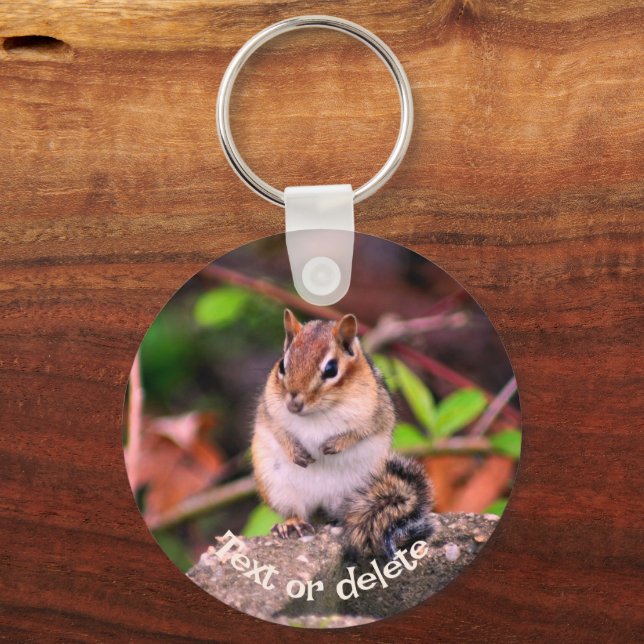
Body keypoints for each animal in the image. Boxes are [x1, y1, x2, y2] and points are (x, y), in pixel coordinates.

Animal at [251, 308, 434, 560]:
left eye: (331, 369)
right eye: (282, 366)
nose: (294, 404)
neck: (317, 413)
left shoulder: (377, 413)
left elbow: (362, 431)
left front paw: (335, 445)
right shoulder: (269, 411)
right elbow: (279, 432)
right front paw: (296, 452)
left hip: (361, 489)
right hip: (278, 487)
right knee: (296, 510)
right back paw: (293, 523)